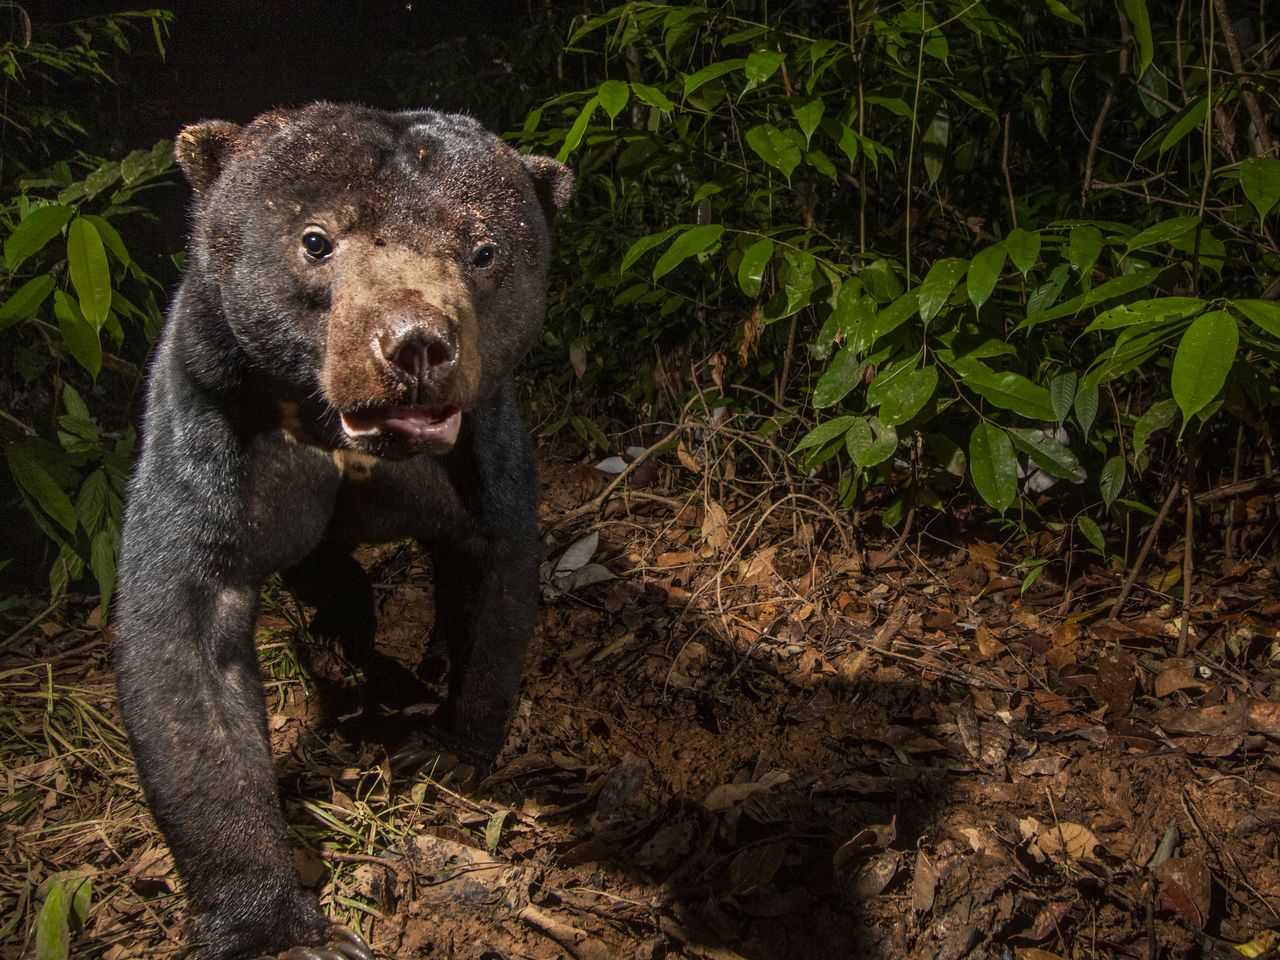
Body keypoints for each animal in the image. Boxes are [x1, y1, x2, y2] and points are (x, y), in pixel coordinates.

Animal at [112, 103, 572, 960]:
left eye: (482, 251)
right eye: (316, 239)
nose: (415, 342)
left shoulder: (481, 440)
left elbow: (494, 578)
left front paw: (447, 750)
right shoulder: (207, 404)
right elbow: (187, 653)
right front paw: (277, 933)